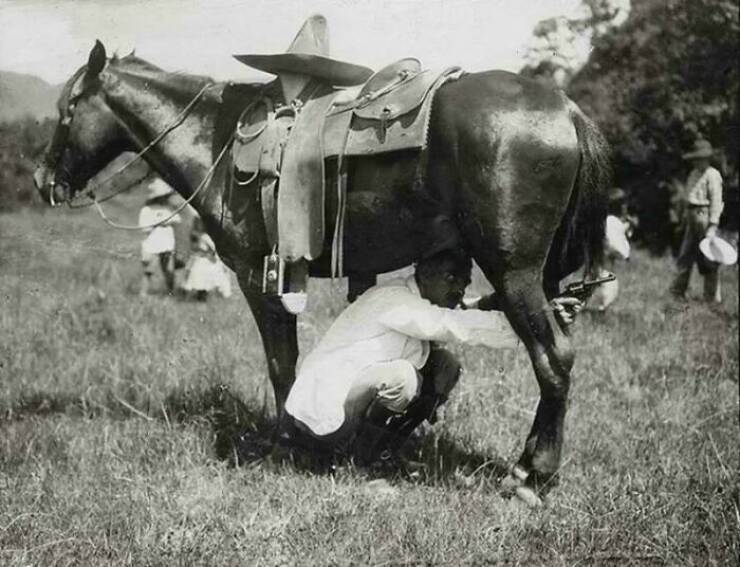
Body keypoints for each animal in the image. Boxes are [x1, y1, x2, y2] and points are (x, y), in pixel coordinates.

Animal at [34, 41, 608, 502]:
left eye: (67, 109)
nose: (43, 179)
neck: (219, 141)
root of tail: (565, 107)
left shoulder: (257, 274)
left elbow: (282, 363)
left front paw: (285, 443)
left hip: (515, 274)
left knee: (554, 359)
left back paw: (531, 475)